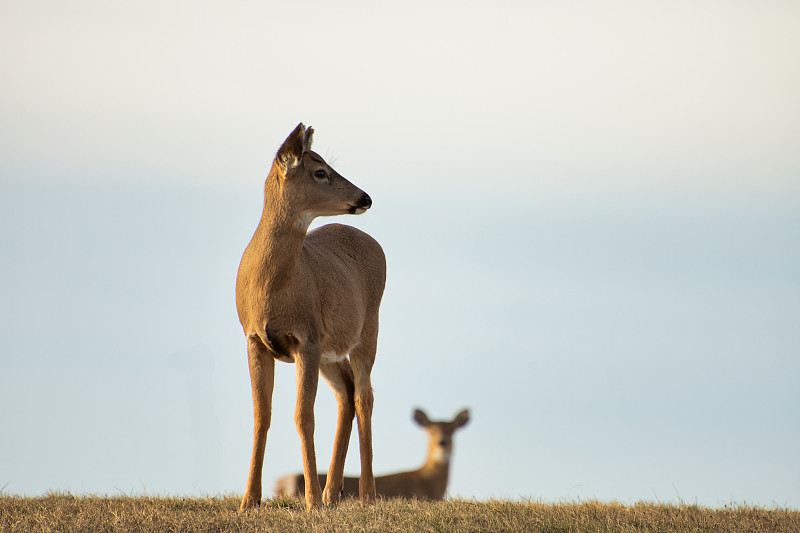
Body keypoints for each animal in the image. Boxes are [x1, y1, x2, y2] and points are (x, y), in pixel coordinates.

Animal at [234, 122, 388, 510]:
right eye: (320, 171)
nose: (365, 198)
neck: (272, 288)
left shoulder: (307, 339)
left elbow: (303, 416)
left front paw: (311, 501)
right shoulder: (254, 339)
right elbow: (261, 415)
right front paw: (249, 500)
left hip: (368, 329)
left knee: (365, 396)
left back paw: (365, 493)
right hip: (331, 351)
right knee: (347, 393)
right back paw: (334, 491)